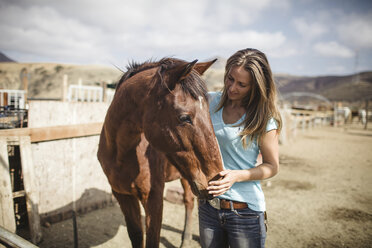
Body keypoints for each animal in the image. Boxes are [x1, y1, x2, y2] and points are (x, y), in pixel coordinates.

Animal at [97, 57, 222, 247]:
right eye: (184, 117)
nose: (217, 177)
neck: (121, 154)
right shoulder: (122, 195)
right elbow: (136, 235)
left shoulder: (153, 198)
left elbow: (152, 239)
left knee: (189, 203)